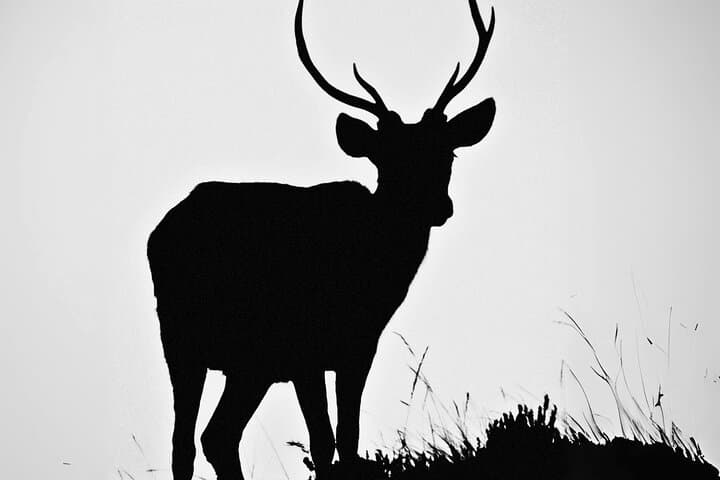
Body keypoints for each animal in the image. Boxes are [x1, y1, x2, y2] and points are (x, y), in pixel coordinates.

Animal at [147, 1, 495, 479]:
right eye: (386, 158)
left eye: (450, 153)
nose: (438, 207)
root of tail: (160, 232)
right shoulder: (305, 350)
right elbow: (324, 440)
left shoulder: (359, 346)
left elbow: (347, 438)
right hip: (198, 342)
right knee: (199, 438)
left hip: (228, 357)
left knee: (204, 439)